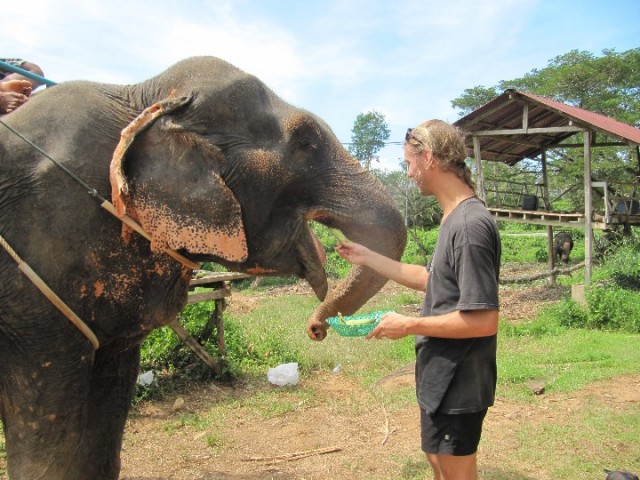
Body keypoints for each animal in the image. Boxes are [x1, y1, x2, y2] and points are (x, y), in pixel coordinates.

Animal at [0, 56, 406, 479]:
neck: (143, 97)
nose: (315, 329)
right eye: (306, 143)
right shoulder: (37, 280)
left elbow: (107, 423)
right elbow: (50, 434)